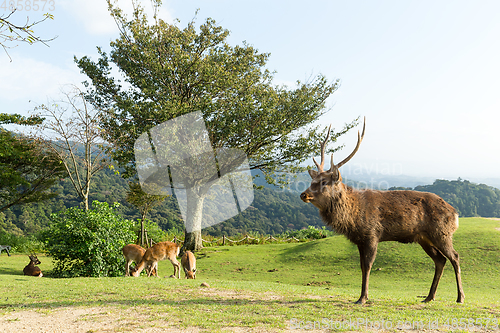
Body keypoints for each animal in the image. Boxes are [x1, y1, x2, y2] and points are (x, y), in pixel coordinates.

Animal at [296, 117, 464, 304]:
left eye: (324, 182)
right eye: (312, 181)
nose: (304, 194)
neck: (353, 217)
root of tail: (455, 213)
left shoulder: (372, 235)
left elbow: (368, 266)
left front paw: (363, 297)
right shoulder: (360, 240)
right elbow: (362, 266)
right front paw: (361, 296)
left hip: (442, 233)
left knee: (455, 257)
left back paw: (460, 297)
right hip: (424, 238)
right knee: (440, 260)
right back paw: (429, 297)